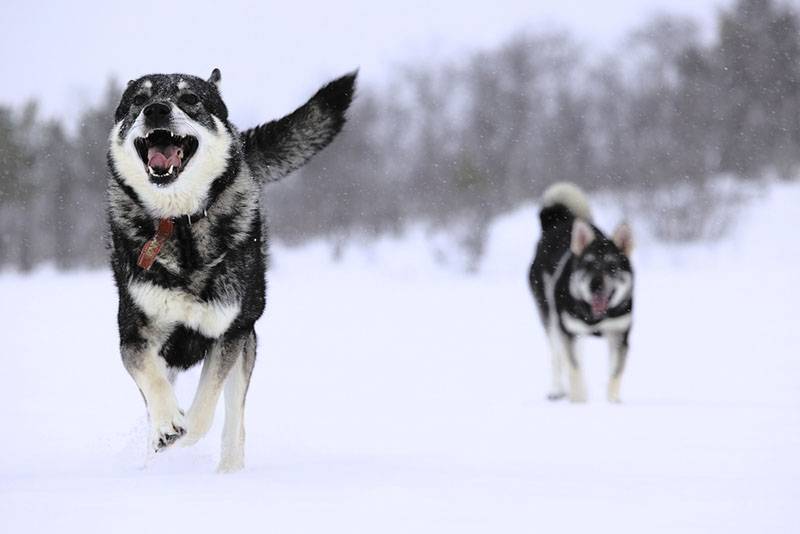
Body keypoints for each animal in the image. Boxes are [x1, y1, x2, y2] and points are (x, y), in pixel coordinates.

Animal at [106, 68, 356, 474]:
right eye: (138, 101)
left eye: (190, 99)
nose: (156, 110)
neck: (181, 226)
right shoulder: (135, 336)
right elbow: (152, 382)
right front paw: (165, 426)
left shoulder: (228, 333)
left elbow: (204, 410)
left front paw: (182, 432)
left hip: (246, 340)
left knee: (234, 418)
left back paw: (228, 472)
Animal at [528, 186, 636, 404]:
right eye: (588, 265)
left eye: (612, 266)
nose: (596, 285)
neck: (597, 317)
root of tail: (557, 223)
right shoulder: (569, 333)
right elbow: (574, 369)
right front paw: (579, 402)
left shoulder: (619, 335)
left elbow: (615, 374)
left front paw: (613, 402)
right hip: (551, 320)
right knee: (557, 356)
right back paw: (557, 390)